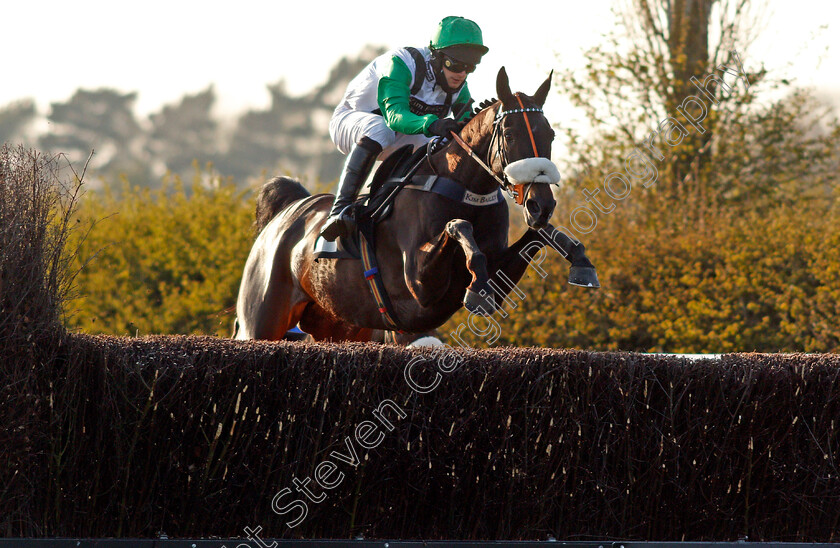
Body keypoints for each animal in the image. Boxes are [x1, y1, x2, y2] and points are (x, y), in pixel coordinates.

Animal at [230, 67, 596, 342]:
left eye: (550, 134)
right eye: (508, 133)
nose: (540, 205)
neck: (465, 189)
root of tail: (288, 212)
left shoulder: (498, 272)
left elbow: (540, 236)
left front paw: (582, 264)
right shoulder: (419, 288)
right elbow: (458, 227)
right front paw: (476, 286)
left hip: (340, 324)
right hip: (261, 320)